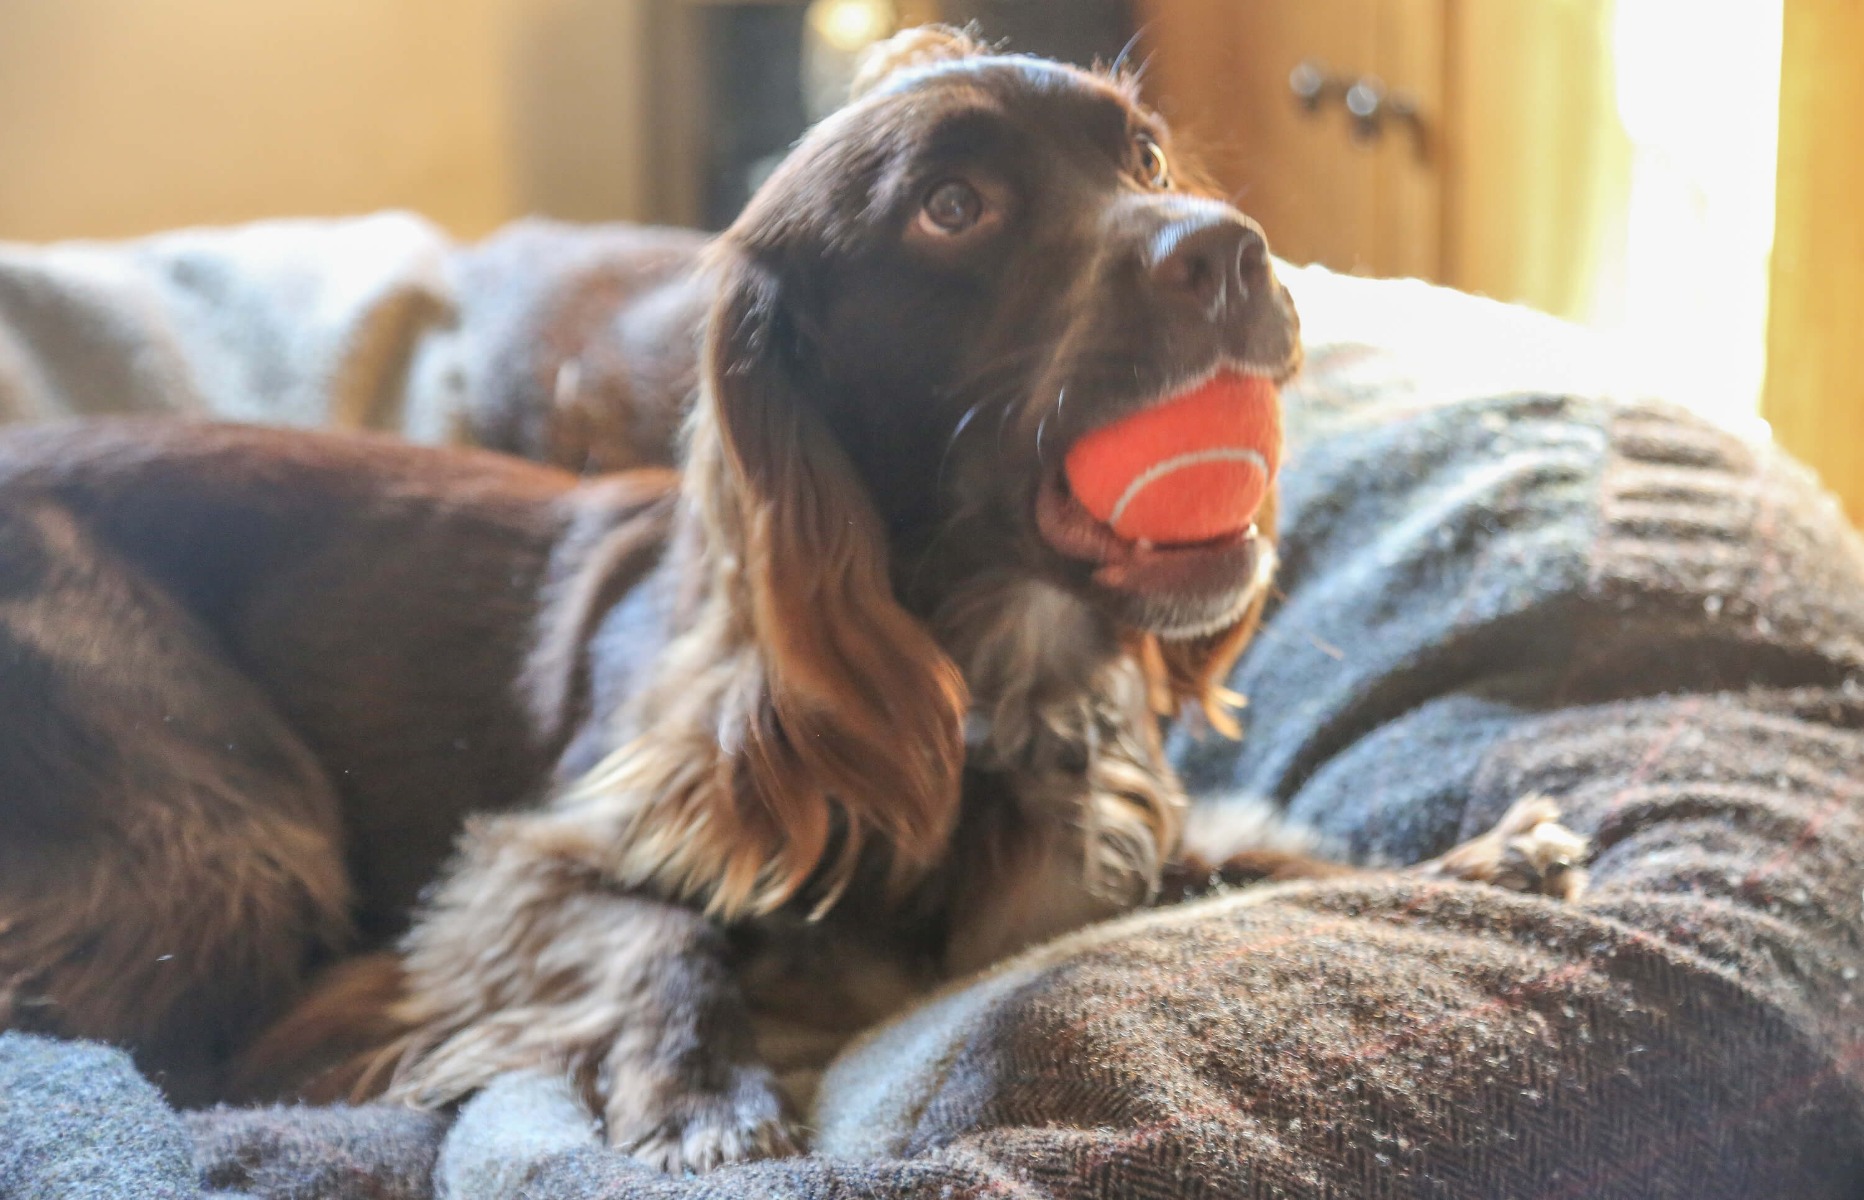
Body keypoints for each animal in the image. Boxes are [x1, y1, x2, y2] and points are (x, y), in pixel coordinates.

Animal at [0, 28, 1580, 1170]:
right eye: (953, 208)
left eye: (1138, 152)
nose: (1234, 246)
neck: (983, 686)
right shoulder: (520, 865)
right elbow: (665, 934)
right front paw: (703, 1098)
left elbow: (1240, 871)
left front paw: (1475, 865)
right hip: (226, 833)